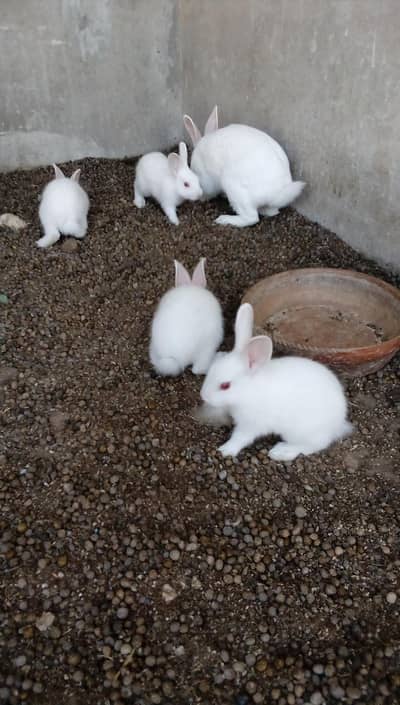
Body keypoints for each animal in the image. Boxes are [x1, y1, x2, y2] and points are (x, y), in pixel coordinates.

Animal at [199, 303, 352, 461]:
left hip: (300, 432)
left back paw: (281, 451)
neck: (248, 391)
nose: (203, 396)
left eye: (225, 386)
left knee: (315, 445)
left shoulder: (251, 424)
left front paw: (225, 450)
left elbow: (240, 437)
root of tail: (338, 423)